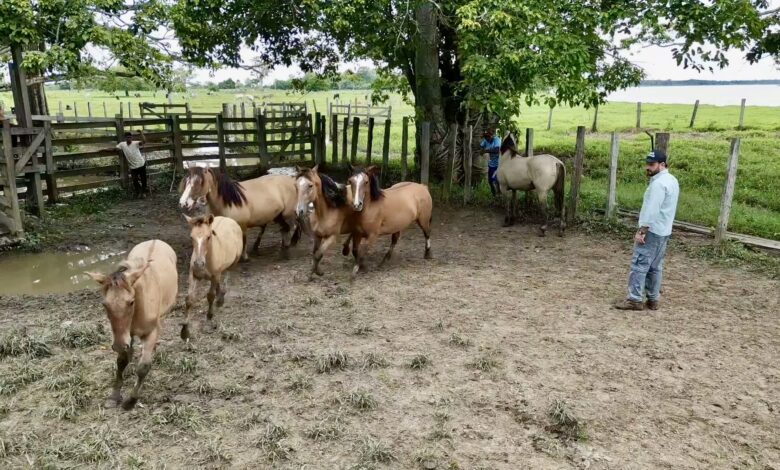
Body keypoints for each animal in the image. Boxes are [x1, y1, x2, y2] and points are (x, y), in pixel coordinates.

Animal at [86, 240, 178, 410]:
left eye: (131, 302)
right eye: (104, 304)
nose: (118, 345)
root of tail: (157, 240)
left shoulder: (151, 332)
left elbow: (143, 367)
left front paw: (130, 401)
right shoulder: (124, 334)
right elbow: (122, 361)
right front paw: (114, 396)